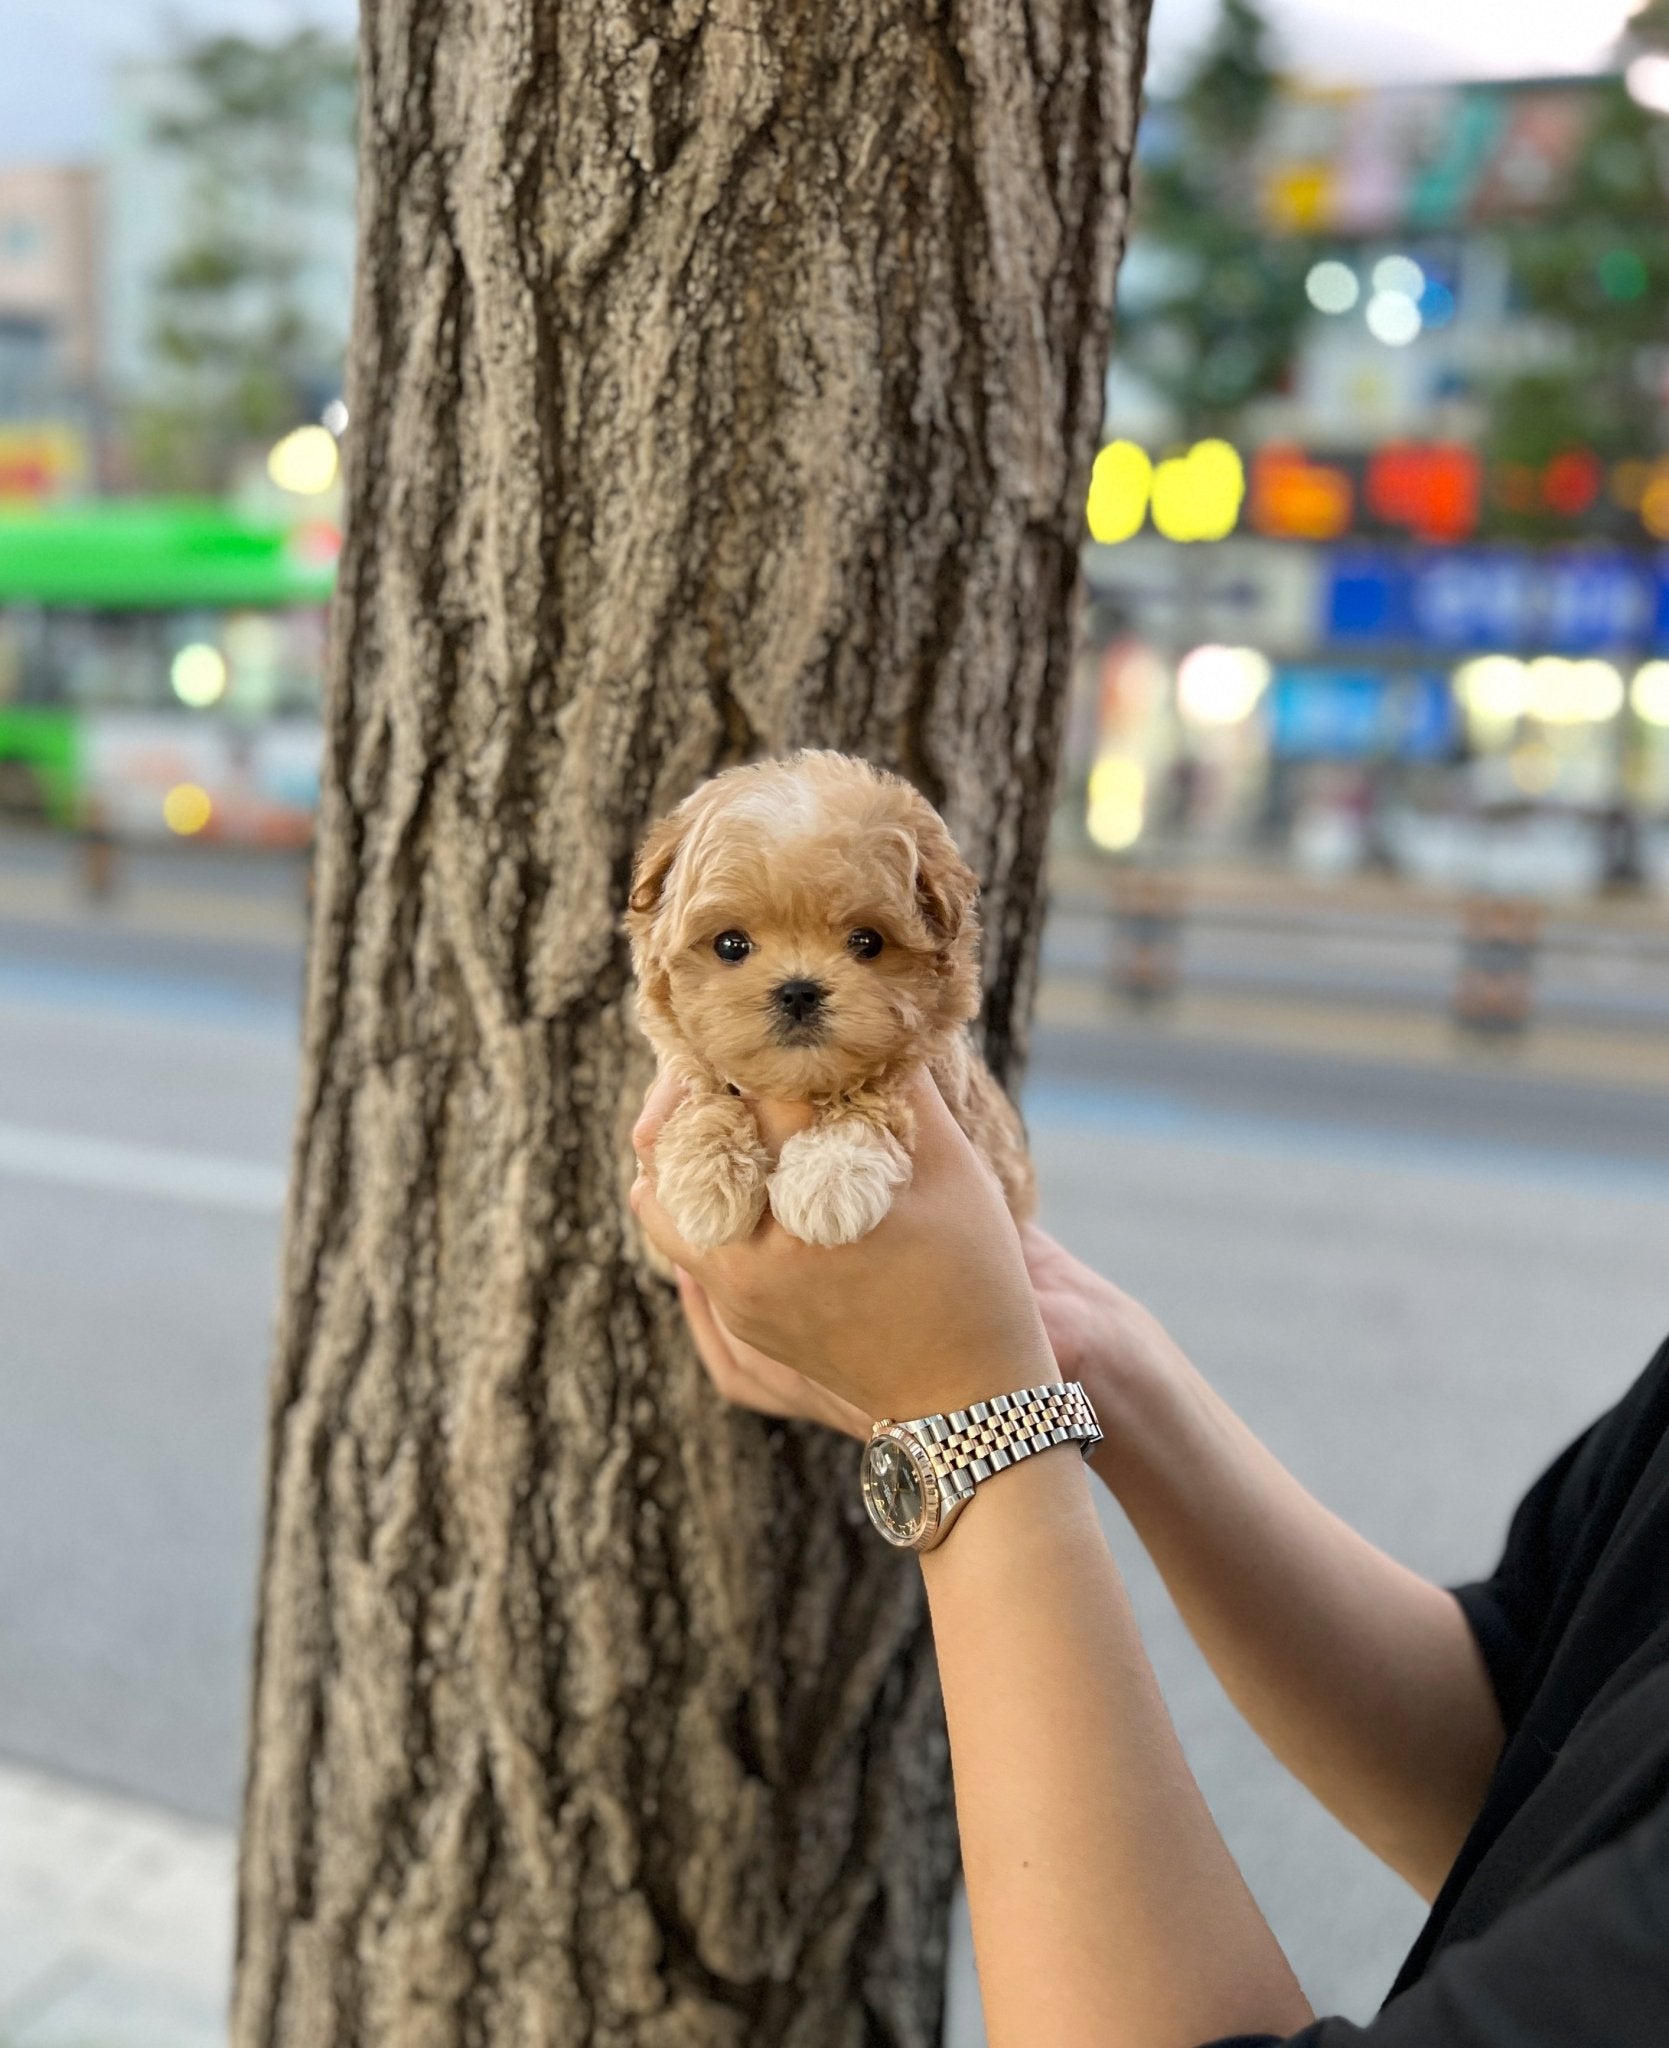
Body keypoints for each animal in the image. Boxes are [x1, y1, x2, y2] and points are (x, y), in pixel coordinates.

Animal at [630, 749, 1032, 1245]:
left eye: (867, 942)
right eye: (730, 945)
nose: (798, 992)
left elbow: (873, 1096)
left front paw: (829, 1177)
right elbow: (704, 1095)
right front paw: (708, 1178)